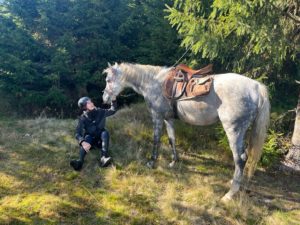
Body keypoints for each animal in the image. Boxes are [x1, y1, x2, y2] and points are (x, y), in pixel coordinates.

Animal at [101, 61, 270, 200]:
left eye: (108, 80)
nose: (105, 99)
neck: (154, 82)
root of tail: (255, 87)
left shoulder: (157, 116)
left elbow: (156, 139)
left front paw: (151, 162)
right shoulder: (168, 118)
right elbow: (172, 139)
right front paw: (173, 161)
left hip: (234, 130)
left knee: (240, 158)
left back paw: (230, 194)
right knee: (244, 158)